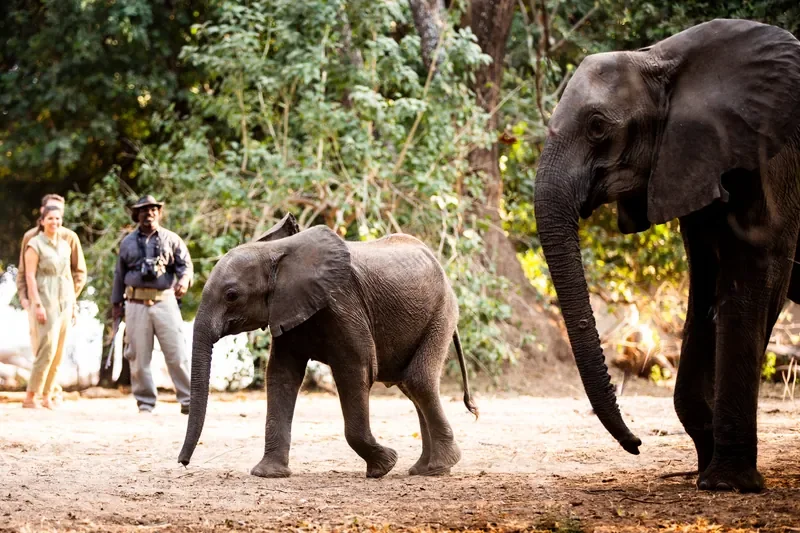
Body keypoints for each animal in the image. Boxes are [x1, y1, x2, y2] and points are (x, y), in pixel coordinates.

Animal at [178, 213, 478, 478]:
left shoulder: (343, 305)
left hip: (443, 311)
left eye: (232, 295)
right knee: (410, 384)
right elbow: (280, 376)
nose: (183, 463)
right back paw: (423, 470)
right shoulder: (287, 309)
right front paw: (268, 474)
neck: (274, 252)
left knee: (418, 380)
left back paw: (437, 468)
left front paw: (384, 466)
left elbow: (356, 370)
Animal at [533, 18, 800, 492]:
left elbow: (754, 271)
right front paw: (708, 467)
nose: (637, 443)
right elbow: (706, 281)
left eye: (598, 127)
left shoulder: (768, 156)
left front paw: (727, 482)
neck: (660, 59)